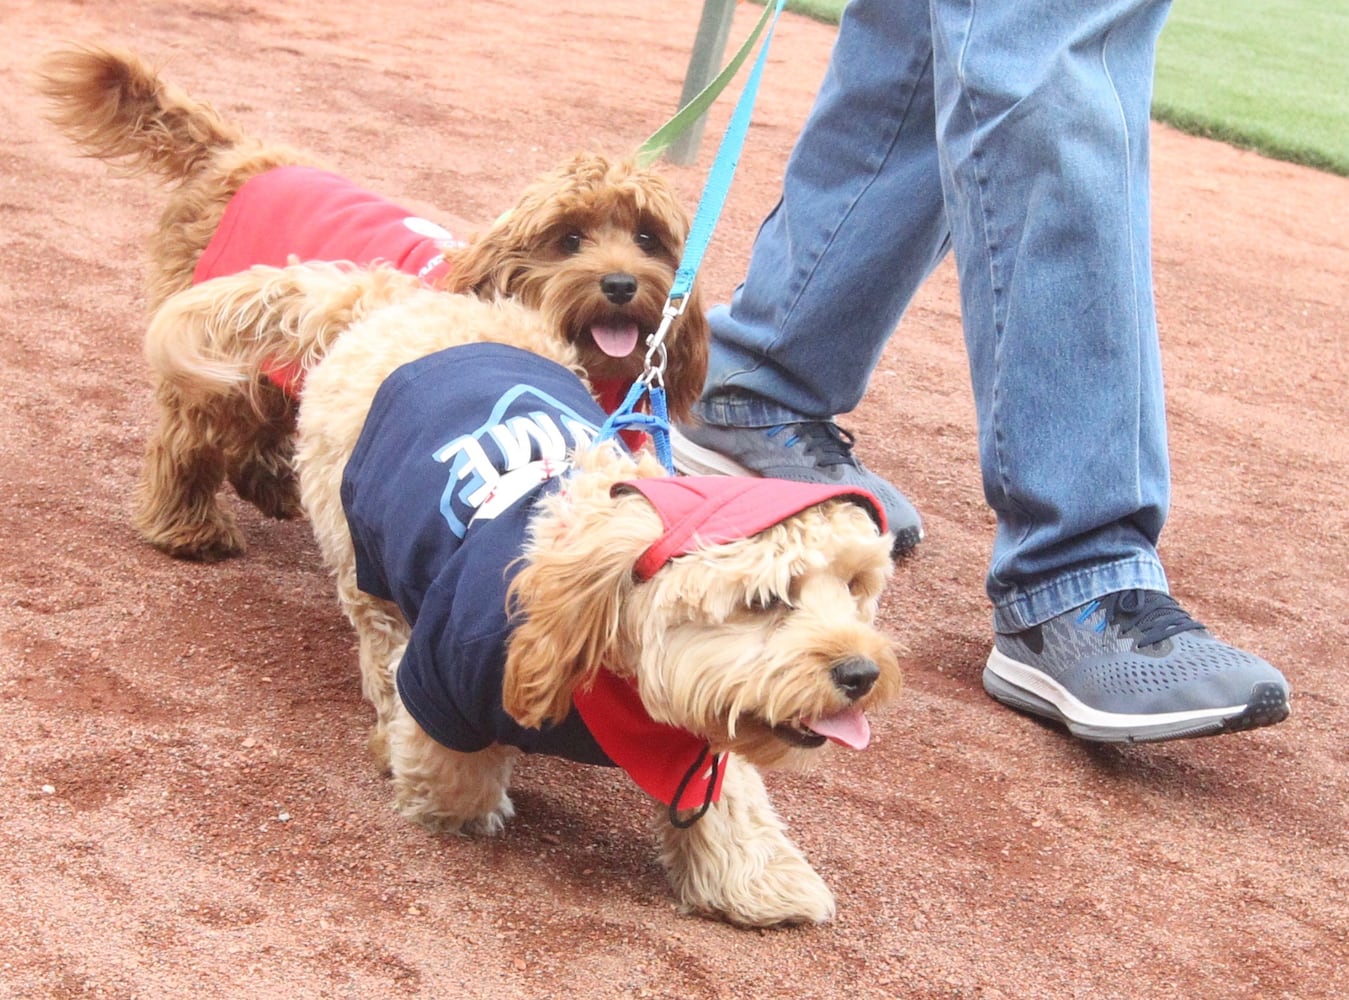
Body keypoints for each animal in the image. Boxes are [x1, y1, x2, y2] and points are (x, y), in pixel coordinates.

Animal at [153, 261, 901, 923]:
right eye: (764, 601)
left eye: (854, 587)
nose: (861, 673)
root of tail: (396, 299)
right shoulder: (447, 669)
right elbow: (448, 772)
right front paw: (435, 786)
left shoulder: (701, 723)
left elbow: (730, 796)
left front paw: (759, 881)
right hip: (358, 544)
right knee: (380, 633)